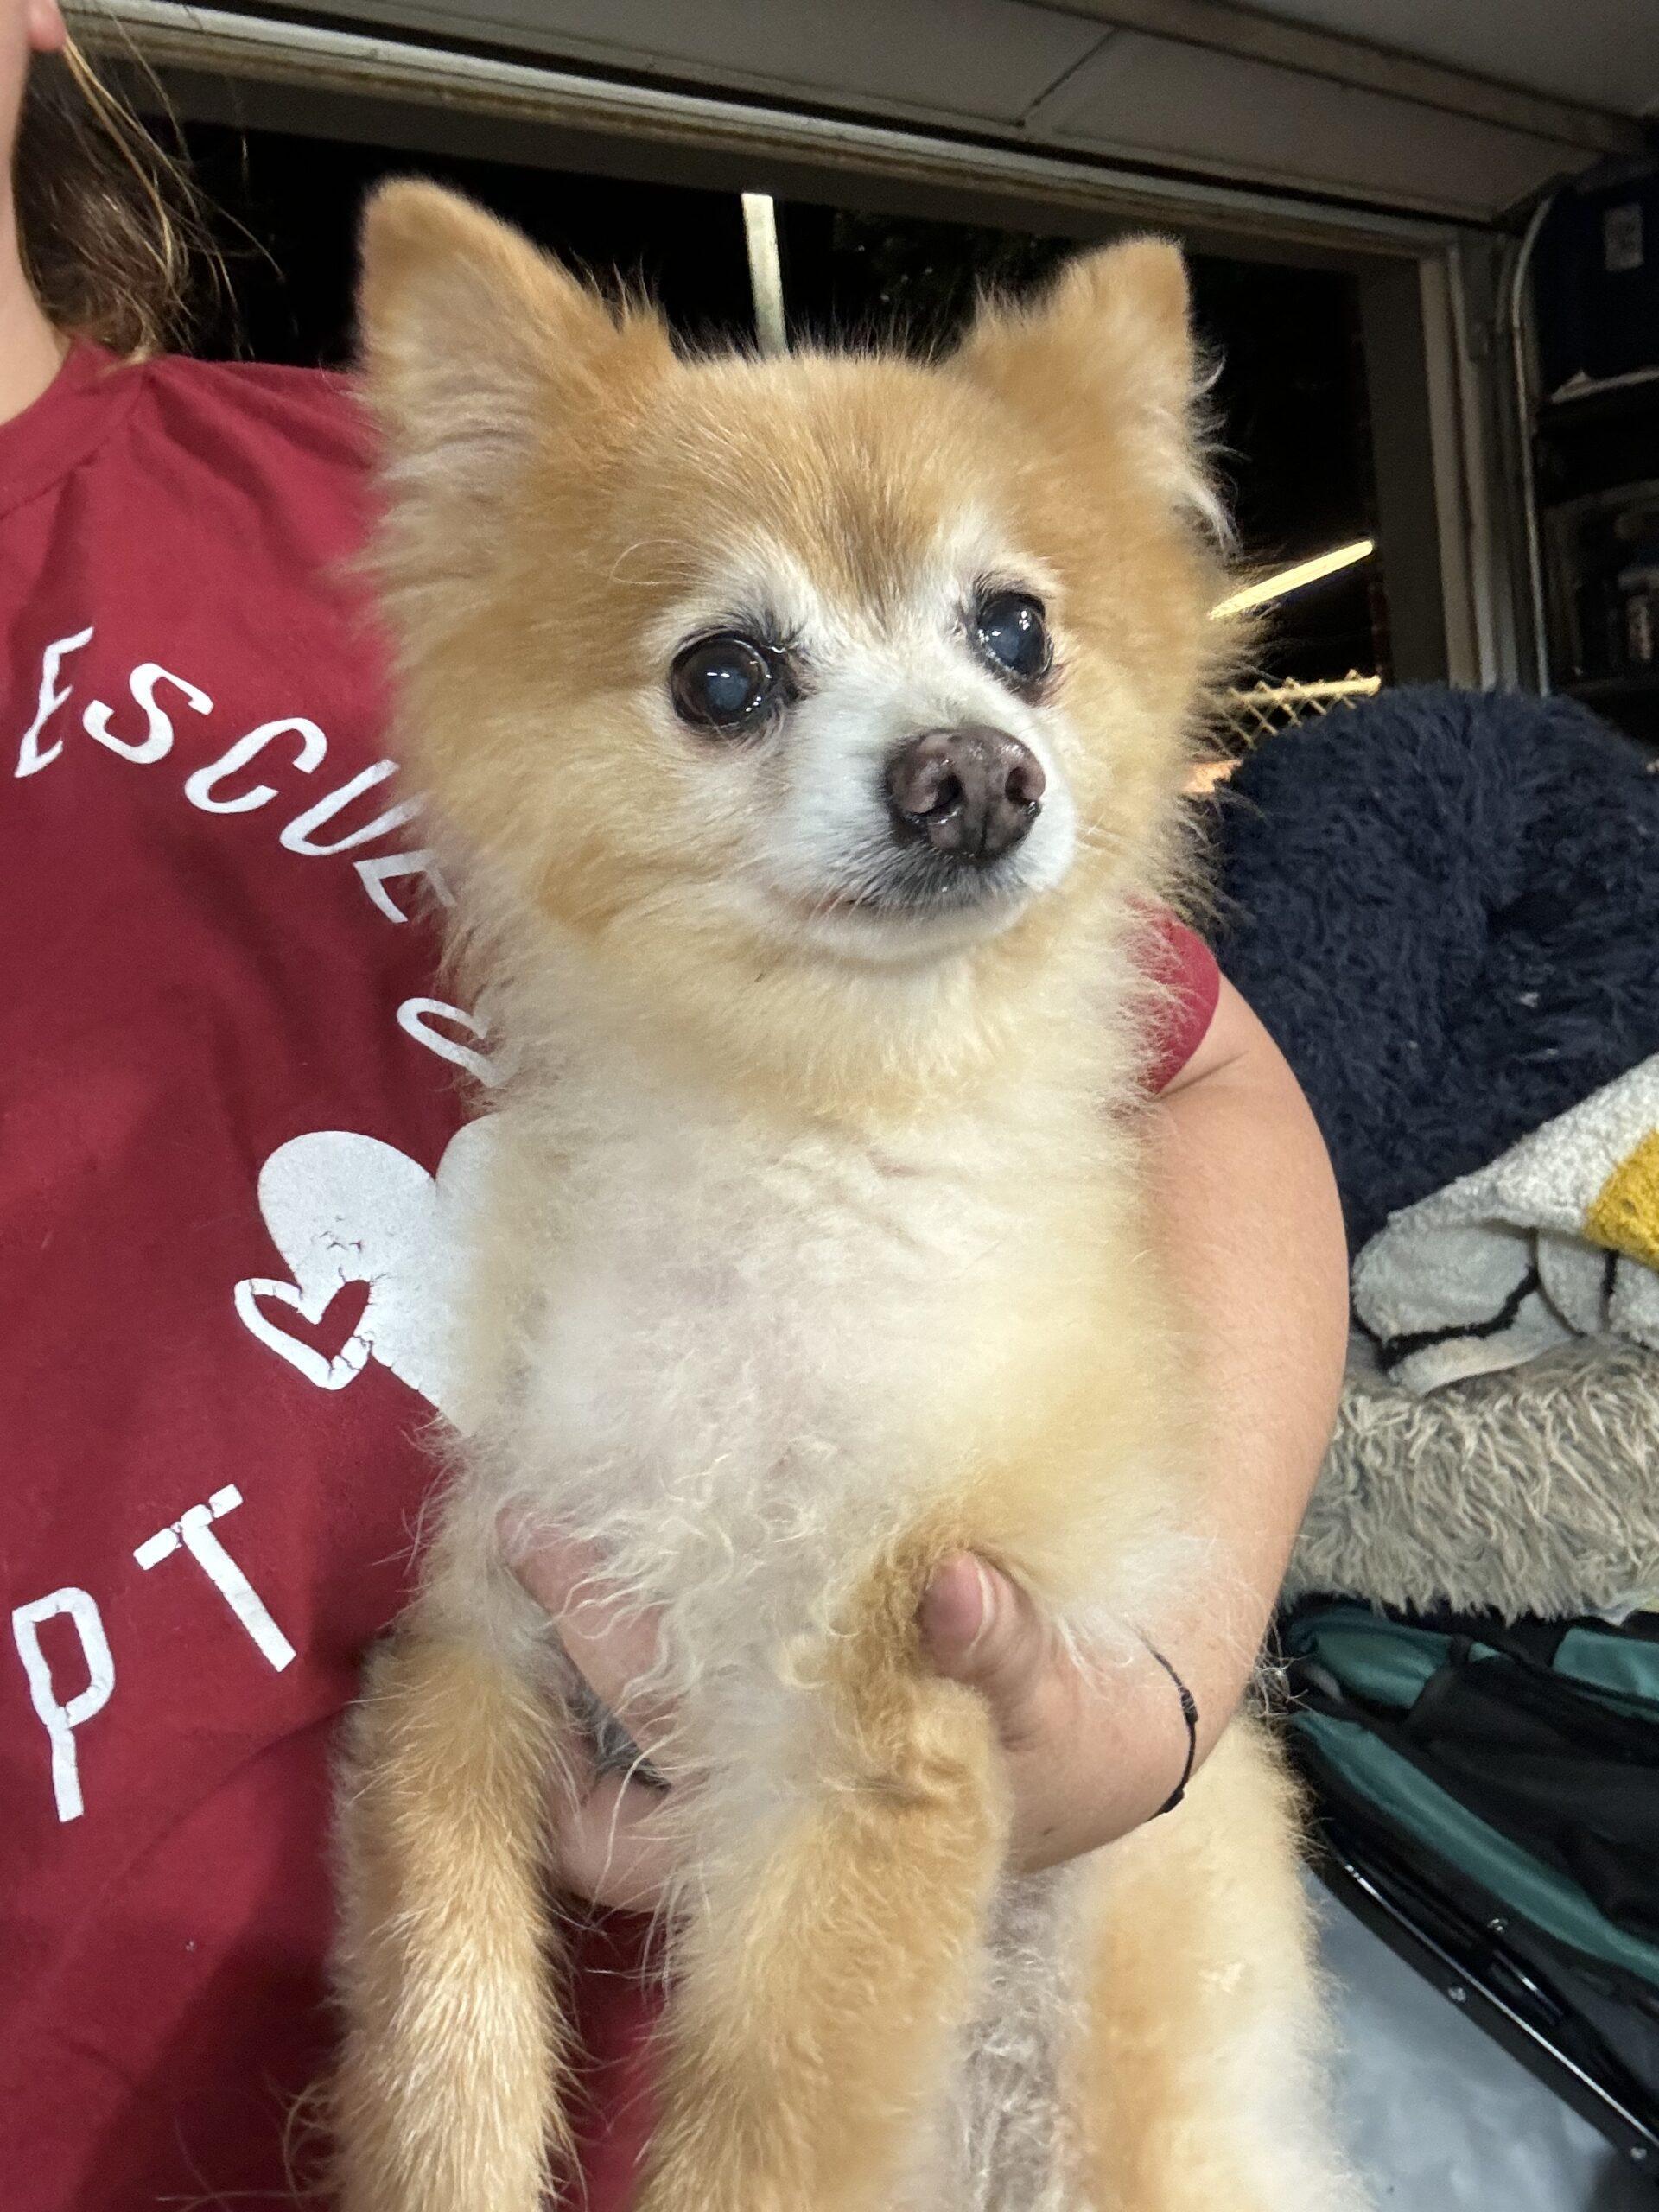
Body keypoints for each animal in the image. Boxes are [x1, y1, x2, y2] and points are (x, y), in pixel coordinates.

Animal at [334, 186, 1353, 2212]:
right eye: (723, 675)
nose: (974, 770)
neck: (800, 1151)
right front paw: (458, 2142)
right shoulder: (489, 1621)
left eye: (1017, 629)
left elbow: (773, 2130)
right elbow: (441, 2010)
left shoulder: (877, 1723)